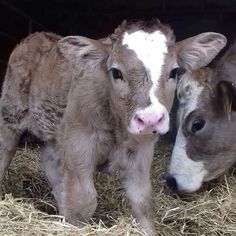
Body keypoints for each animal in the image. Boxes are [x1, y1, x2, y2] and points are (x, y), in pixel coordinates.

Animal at [0, 19, 226, 235]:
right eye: (116, 72)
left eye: (174, 72)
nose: (150, 119)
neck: (118, 129)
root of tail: (37, 35)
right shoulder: (79, 146)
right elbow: (83, 201)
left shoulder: (141, 153)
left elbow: (143, 202)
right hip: (10, 115)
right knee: (6, 152)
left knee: (51, 163)